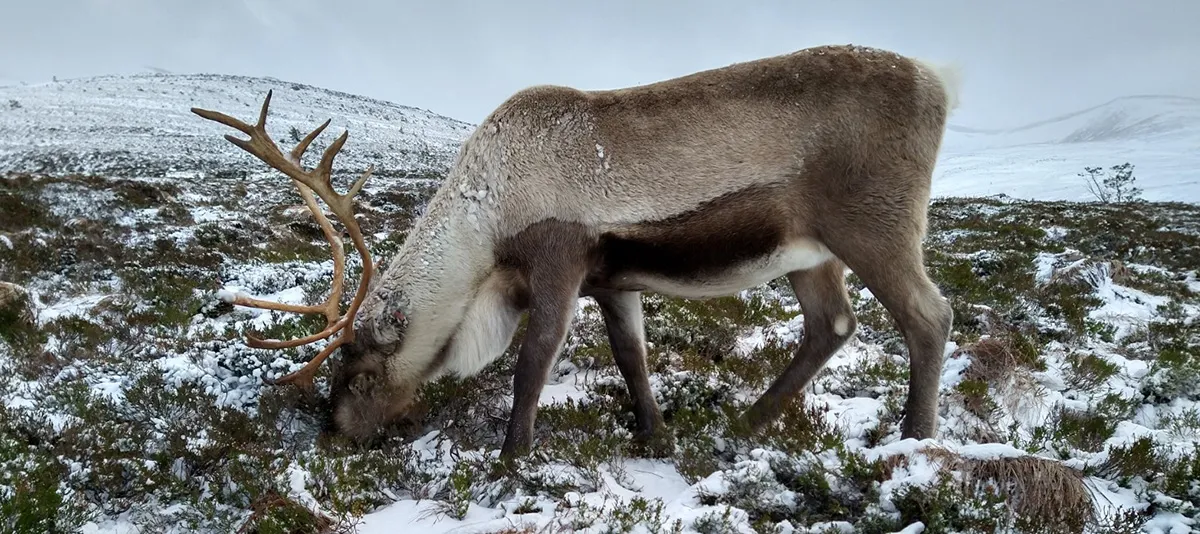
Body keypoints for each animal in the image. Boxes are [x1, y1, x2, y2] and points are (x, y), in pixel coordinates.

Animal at [191, 44, 961, 461]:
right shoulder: (612, 279)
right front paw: (656, 436)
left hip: (876, 228)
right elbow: (632, 359)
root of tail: (939, 81)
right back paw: (745, 422)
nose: (333, 435)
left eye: (358, 370)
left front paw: (510, 457)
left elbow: (531, 362)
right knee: (832, 324)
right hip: (807, 254)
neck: (486, 226)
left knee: (929, 316)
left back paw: (915, 440)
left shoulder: (558, 263)